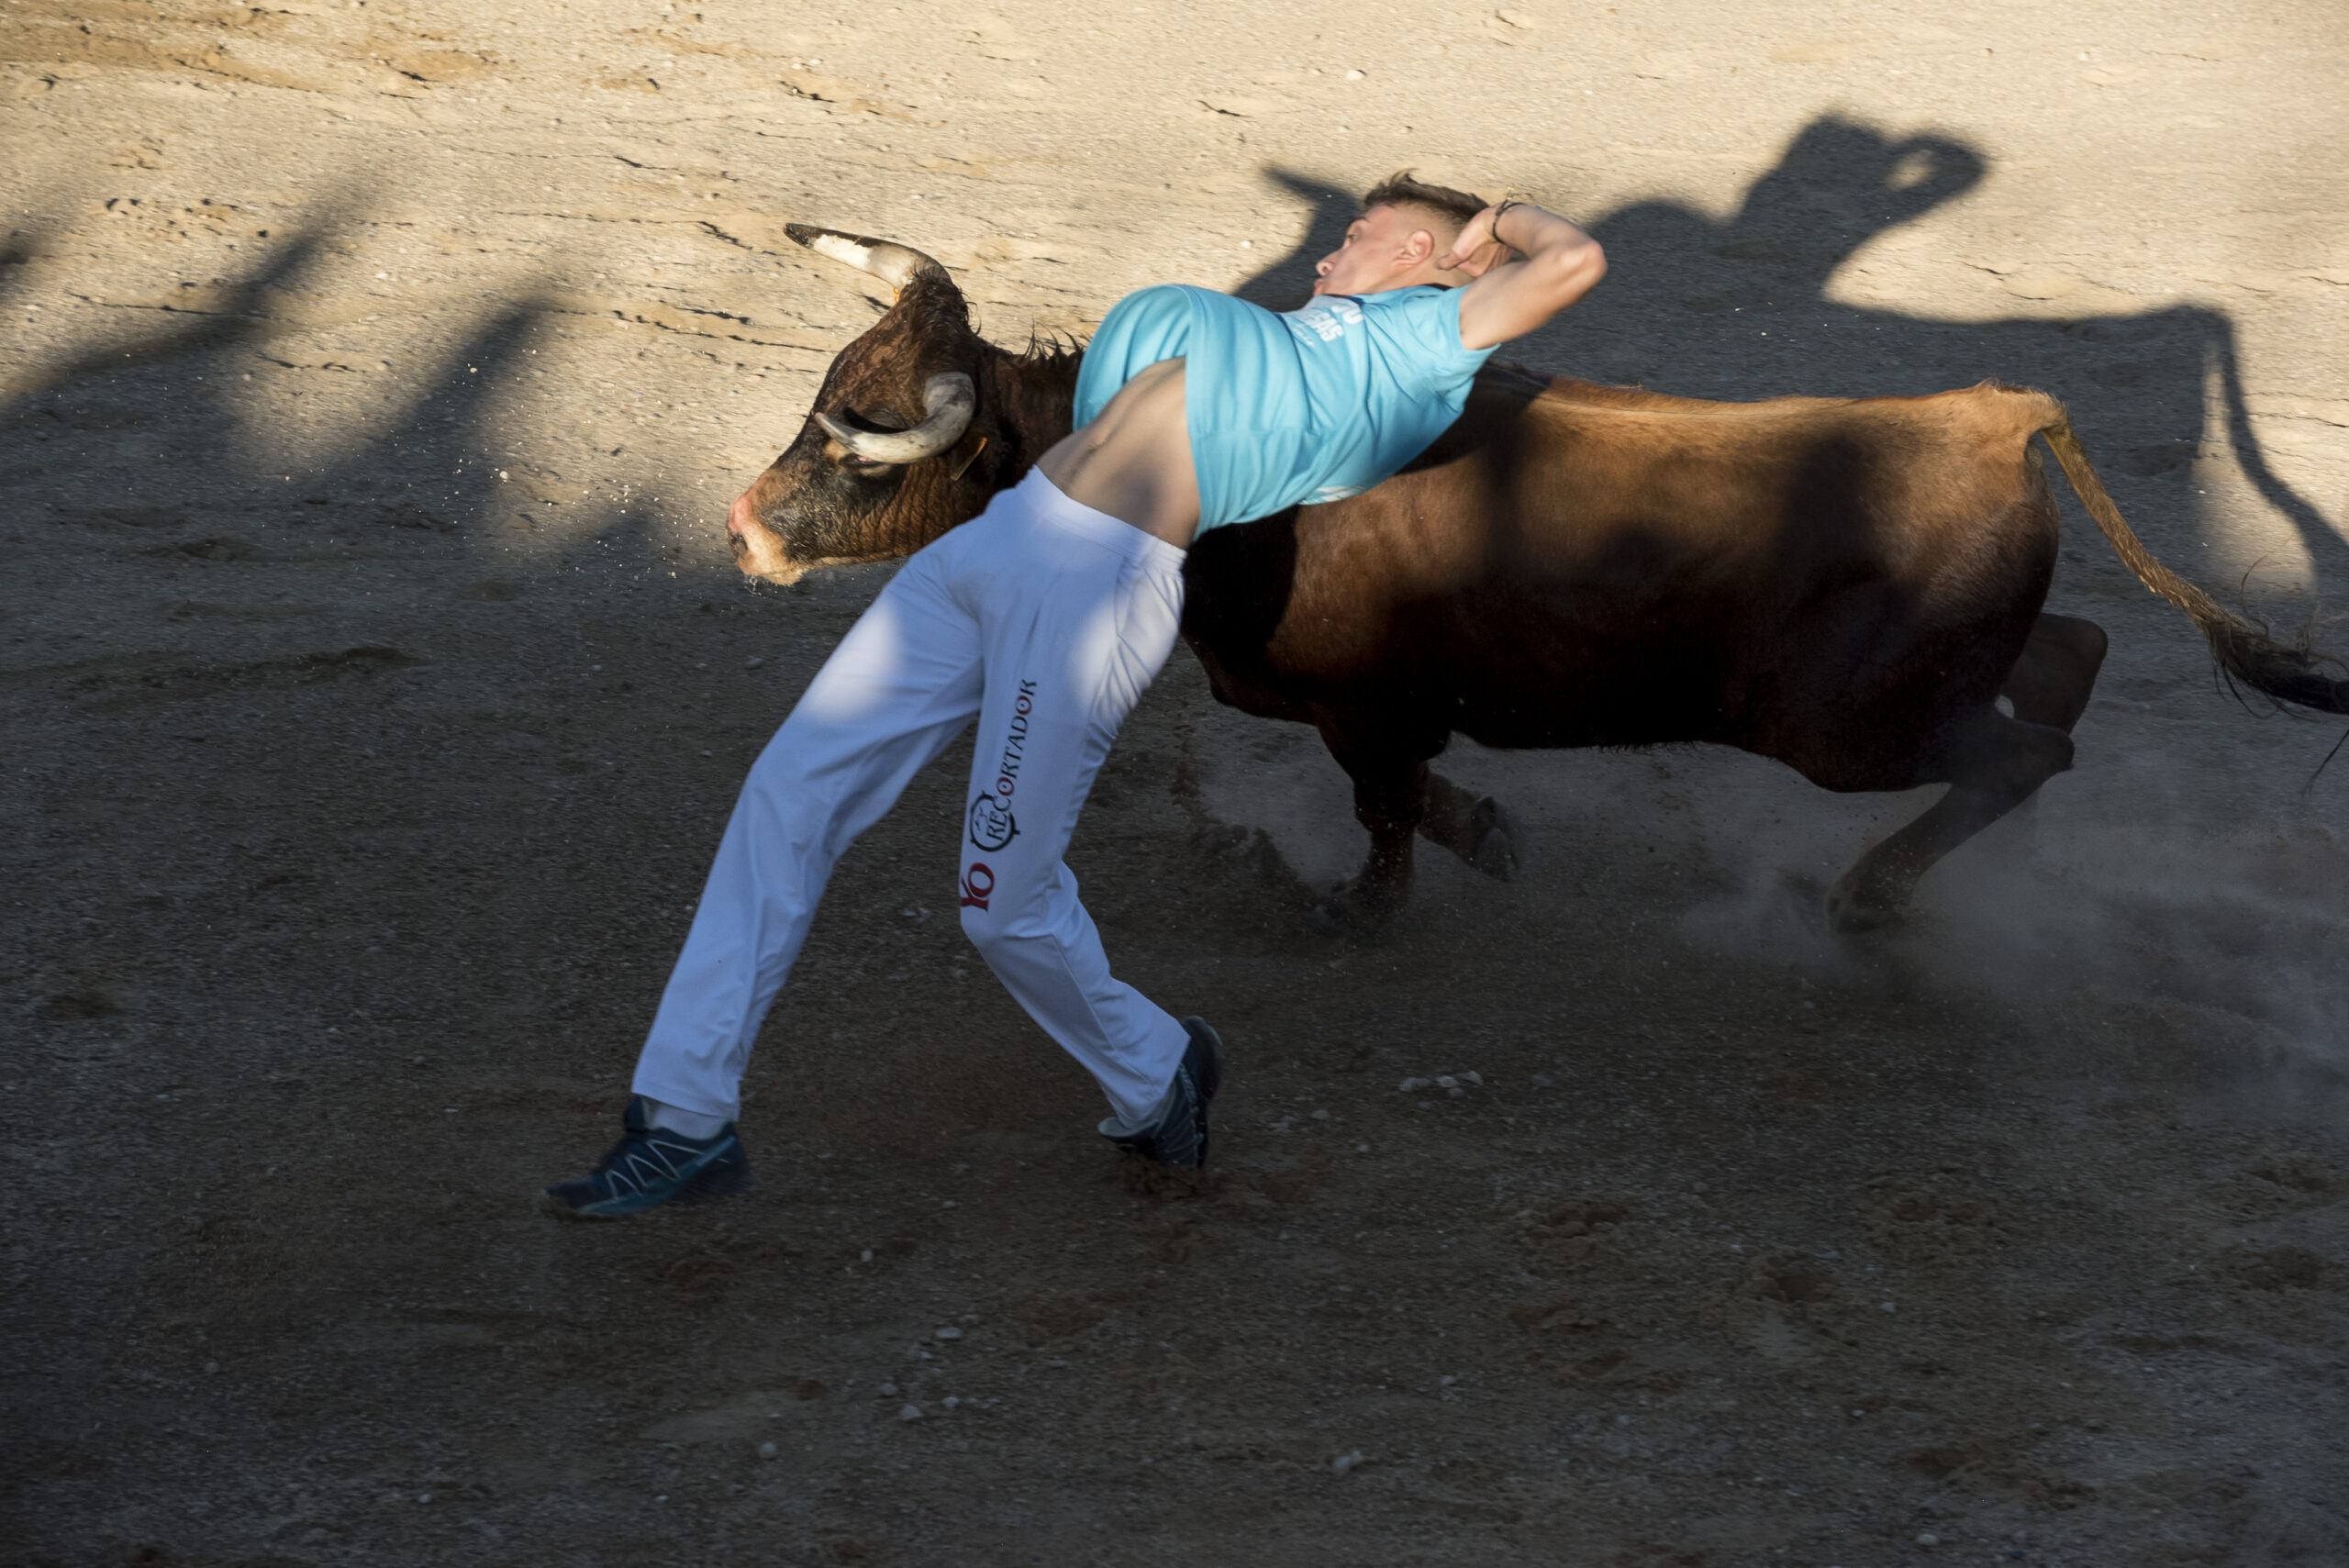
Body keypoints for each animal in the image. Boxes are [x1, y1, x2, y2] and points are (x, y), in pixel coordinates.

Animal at [723, 228, 2339, 939]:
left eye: (858, 442)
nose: (742, 529)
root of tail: (1991, 412)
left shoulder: (1363, 703)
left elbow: (1383, 810)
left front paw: (1363, 909)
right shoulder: (1376, 708)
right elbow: (1419, 794)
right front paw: (1487, 837)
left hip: (1846, 727)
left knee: (2030, 744)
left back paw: (1870, 894)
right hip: (1925, 684)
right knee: (2069, 659)